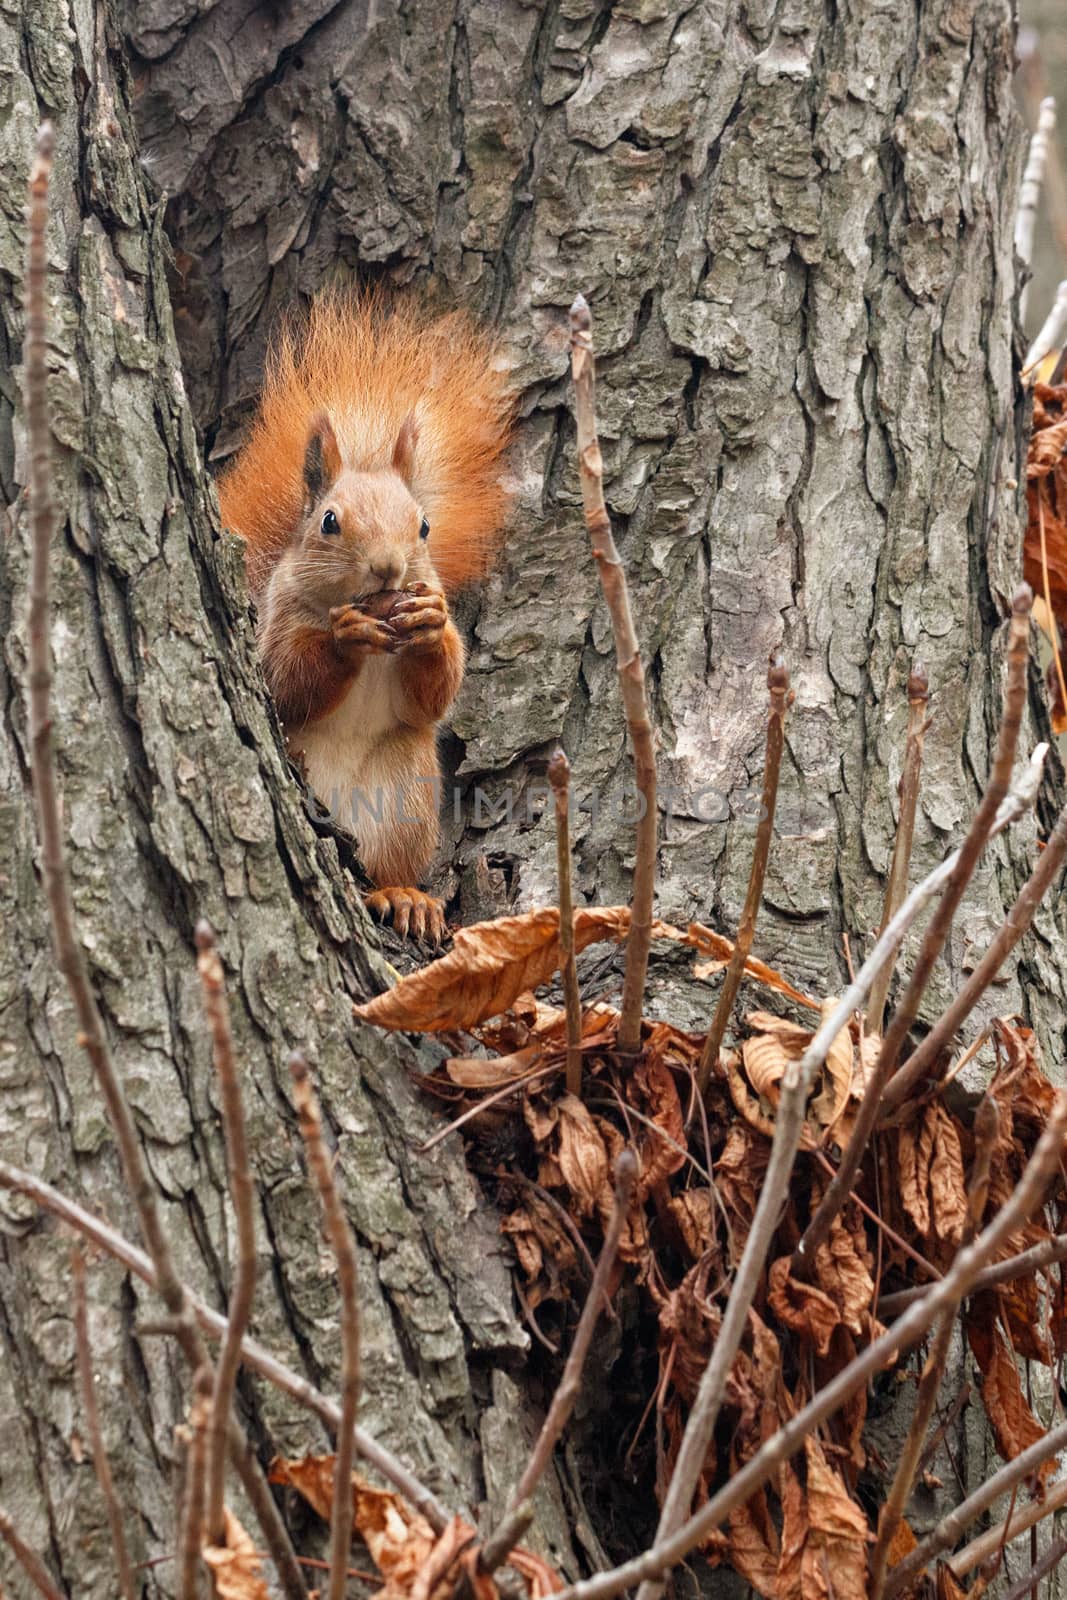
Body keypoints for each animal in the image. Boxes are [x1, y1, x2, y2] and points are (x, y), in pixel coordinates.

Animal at [217, 294, 511, 940]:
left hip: (403, 798)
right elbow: (287, 682)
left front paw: (429, 626)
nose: (388, 568)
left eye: (423, 526)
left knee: (383, 871)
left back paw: (404, 896)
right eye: (329, 520)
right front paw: (342, 639)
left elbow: (435, 695)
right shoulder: (278, 622)